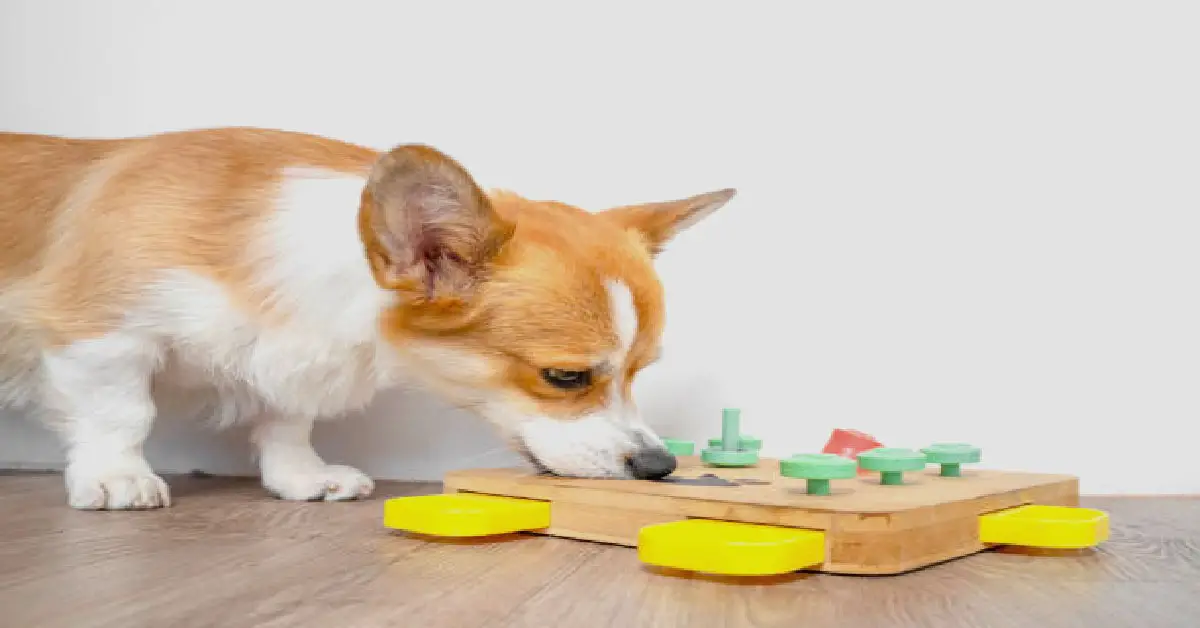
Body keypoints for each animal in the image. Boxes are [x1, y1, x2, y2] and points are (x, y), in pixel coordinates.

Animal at [0, 127, 729, 511]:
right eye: (566, 378)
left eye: (638, 372)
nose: (661, 466)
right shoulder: (98, 333)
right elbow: (122, 412)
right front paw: (115, 476)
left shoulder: (293, 356)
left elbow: (288, 422)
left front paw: (301, 477)